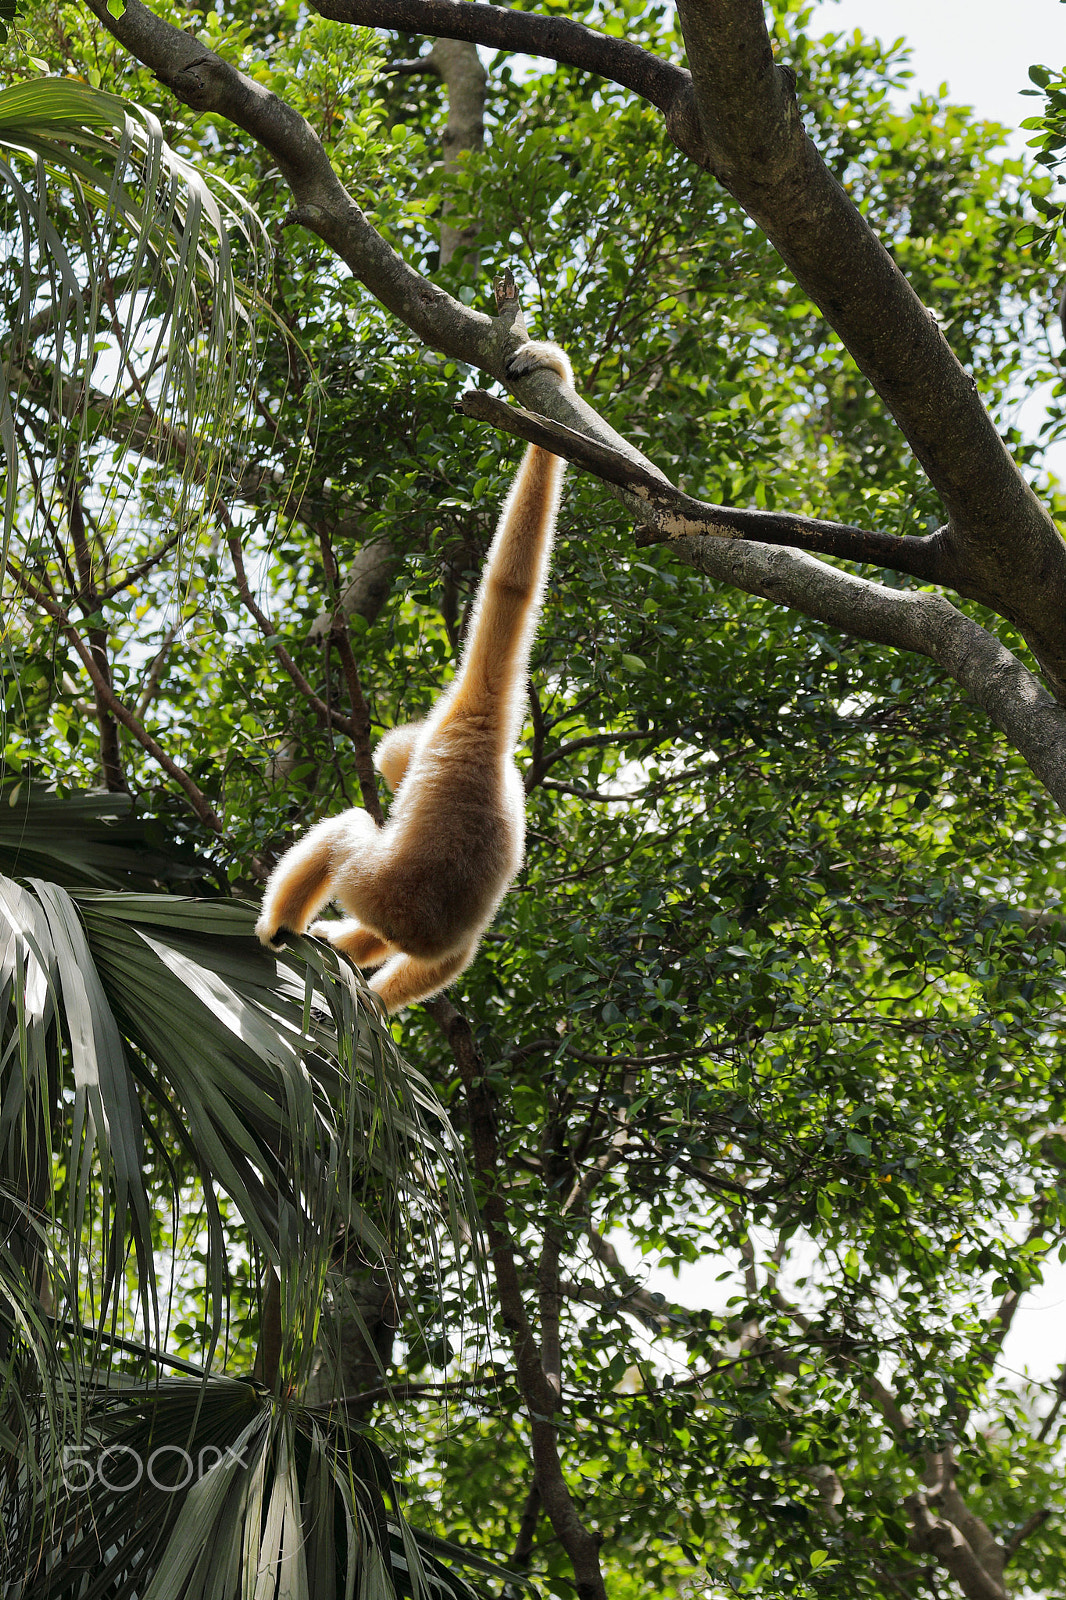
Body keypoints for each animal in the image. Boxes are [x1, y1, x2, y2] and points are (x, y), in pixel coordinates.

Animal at [255, 339, 574, 1013]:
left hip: (376, 886)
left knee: (348, 831)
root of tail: (416, 924)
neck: (491, 745)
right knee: (454, 953)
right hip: (421, 929)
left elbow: (510, 587)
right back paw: (366, 986)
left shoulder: (471, 703)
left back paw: (280, 927)